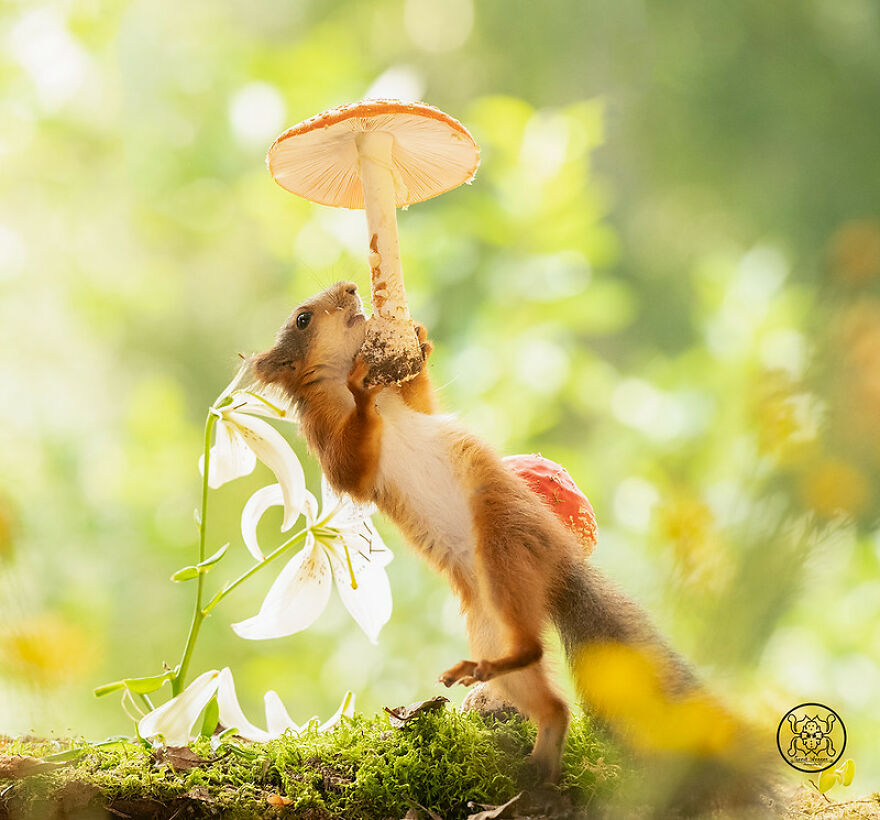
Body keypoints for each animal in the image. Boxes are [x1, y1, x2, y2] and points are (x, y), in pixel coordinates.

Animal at [250, 281, 773, 809]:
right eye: (303, 318)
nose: (352, 287)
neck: (341, 380)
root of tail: (561, 562)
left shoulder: (411, 409)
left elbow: (421, 404)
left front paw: (420, 341)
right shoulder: (330, 442)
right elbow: (352, 464)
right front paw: (363, 387)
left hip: (505, 547)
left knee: (535, 656)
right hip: (496, 587)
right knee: (540, 678)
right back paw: (536, 738)